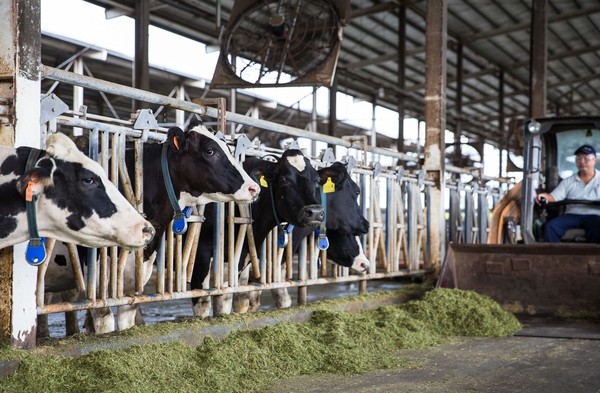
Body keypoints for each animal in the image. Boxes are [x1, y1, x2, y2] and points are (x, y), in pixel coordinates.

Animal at [45, 121, 262, 332]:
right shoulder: (99, 282)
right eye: (210, 151)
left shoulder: (134, 280)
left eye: (228, 148)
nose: (254, 188)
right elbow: (105, 322)